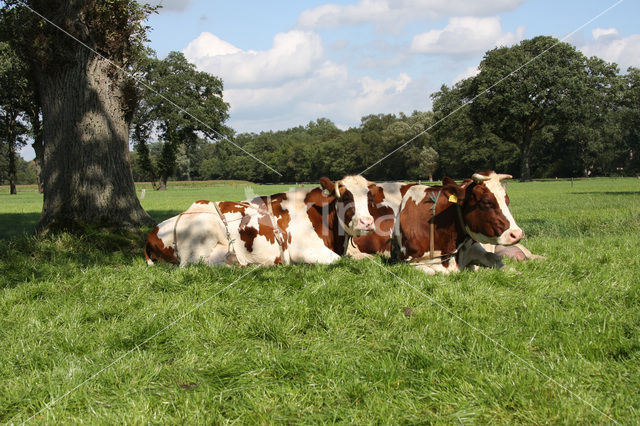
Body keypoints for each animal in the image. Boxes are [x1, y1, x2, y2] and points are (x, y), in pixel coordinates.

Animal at [144, 174, 376, 266]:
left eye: (370, 198)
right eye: (346, 197)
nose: (367, 222)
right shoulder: (304, 250)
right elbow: (337, 260)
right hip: (199, 238)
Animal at [390, 171, 524, 274]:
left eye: (507, 201)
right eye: (486, 202)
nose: (516, 234)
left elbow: (496, 260)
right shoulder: (408, 262)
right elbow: (431, 271)